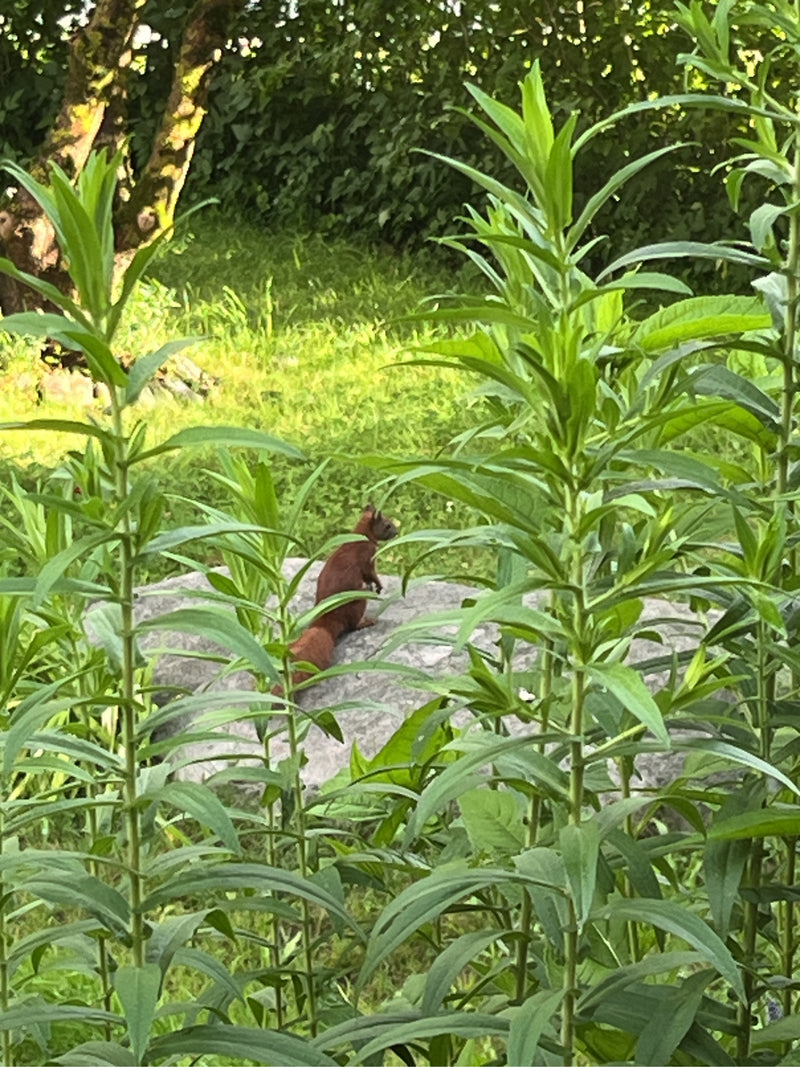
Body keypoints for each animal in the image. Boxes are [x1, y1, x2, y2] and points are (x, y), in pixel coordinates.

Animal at [276, 505, 398, 693]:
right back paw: (367, 621)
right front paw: (378, 586)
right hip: (358, 601)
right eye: (387, 525)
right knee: (353, 625)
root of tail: (326, 622)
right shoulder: (368, 557)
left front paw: (375, 587)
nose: (398, 532)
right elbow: (371, 574)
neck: (360, 536)